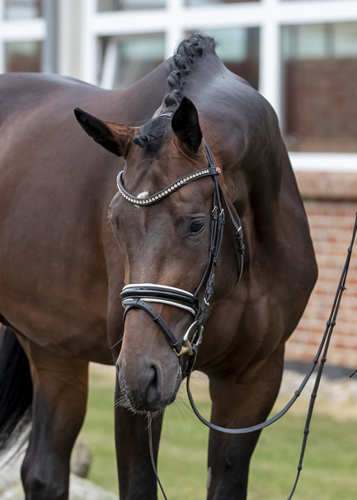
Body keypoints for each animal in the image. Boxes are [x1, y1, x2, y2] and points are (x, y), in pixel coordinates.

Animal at [0, 36, 318, 500]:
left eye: (196, 224)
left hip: (53, 349)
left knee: (43, 473)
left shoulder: (253, 383)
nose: (142, 373)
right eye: (114, 222)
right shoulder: (133, 394)